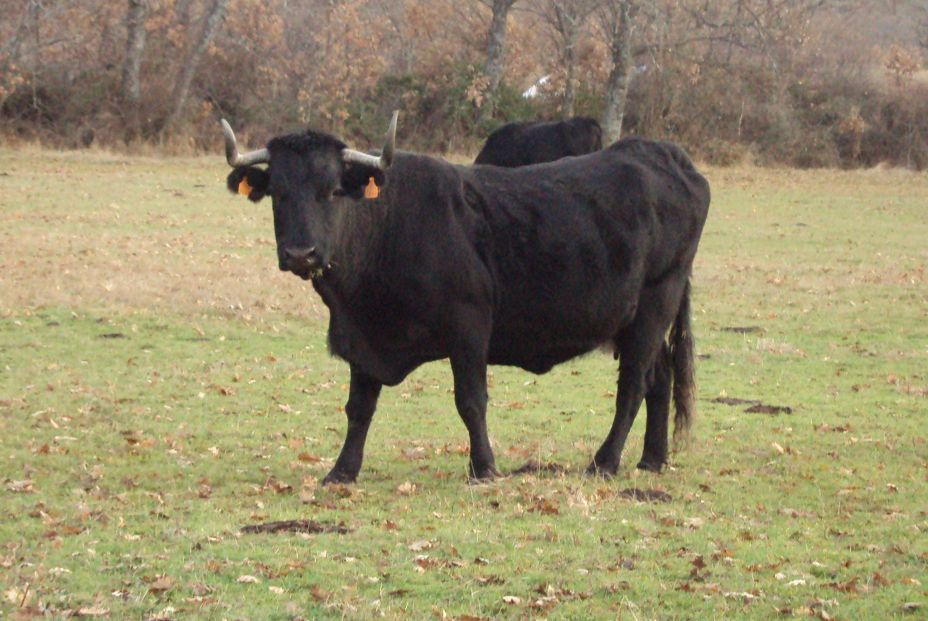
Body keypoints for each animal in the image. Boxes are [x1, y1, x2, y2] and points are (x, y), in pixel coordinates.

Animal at [219, 114, 712, 482]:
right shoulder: (361, 337)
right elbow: (359, 408)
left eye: (334, 190)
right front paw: (342, 471)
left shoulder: (470, 327)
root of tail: (659, 152)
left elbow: (471, 401)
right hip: (640, 319)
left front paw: (484, 467)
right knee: (660, 377)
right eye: (278, 193)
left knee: (633, 385)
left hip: (655, 303)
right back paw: (652, 459)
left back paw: (605, 462)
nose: (301, 253)